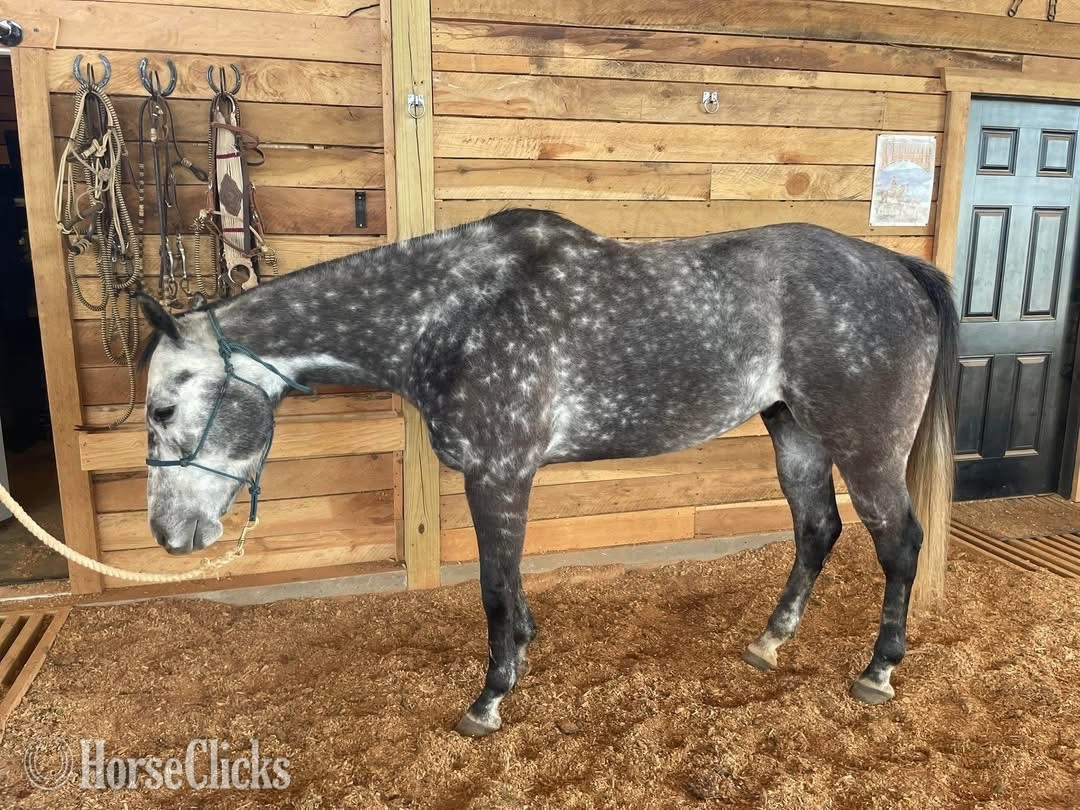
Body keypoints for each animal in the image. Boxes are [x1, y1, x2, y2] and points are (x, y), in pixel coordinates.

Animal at [138, 208, 957, 737]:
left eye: (163, 407)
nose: (168, 535)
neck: (453, 315)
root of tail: (899, 268)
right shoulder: (503, 476)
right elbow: (511, 579)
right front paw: (522, 660)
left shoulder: (498, 473)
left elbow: (495, 589)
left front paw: (488, 701)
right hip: (792, 430)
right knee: (817, 528)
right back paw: (767, 644)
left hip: (865, 447)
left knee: (898, 544)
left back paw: (877, 672)